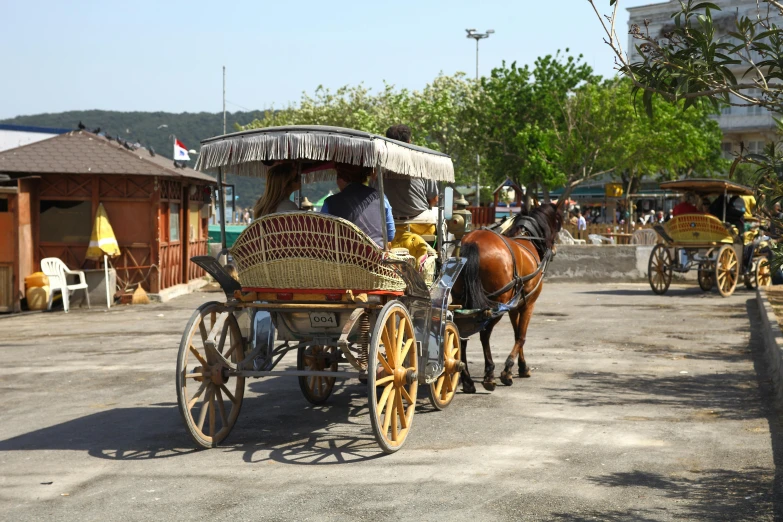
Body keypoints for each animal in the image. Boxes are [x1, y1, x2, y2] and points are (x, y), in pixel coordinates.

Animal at [454, 202, 564, 390]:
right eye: (558, 221)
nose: (555, 249)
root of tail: (473, 242)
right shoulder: (528, 304)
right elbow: (521, 336)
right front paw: (508, 369)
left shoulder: (514, 306)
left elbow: (516, 333)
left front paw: (522, 367)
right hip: (496, 304)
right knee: (484, 334)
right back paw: (489, 374)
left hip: (460, 302)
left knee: (461, 334)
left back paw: (467, 379)